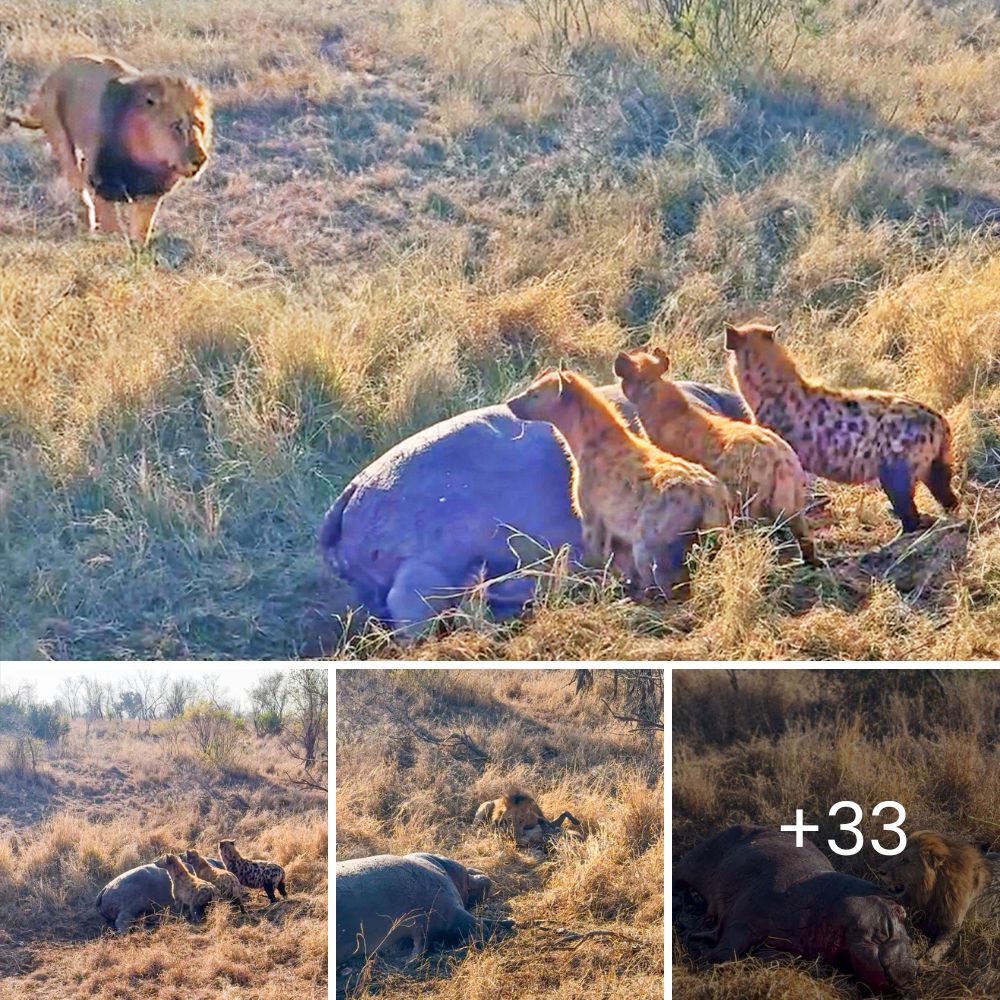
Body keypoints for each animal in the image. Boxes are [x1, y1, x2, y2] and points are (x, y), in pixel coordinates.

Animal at [4, 54, 212, 244]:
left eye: (200, 125)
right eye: (176, 126)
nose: (201, 160)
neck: (147, 159)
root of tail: (53, 74)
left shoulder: (151, 194)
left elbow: (141, 233)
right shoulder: (102, 184)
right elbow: (111, 227)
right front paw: (112, 244)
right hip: (60, 136)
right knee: (77, 182)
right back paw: (86, 220)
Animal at [876, 828, 1000, 960]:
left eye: (905, 860)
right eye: (897, 854)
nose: (880, 871)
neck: (933, 891)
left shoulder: (952, 929)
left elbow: (936, 951)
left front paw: (925, 960)